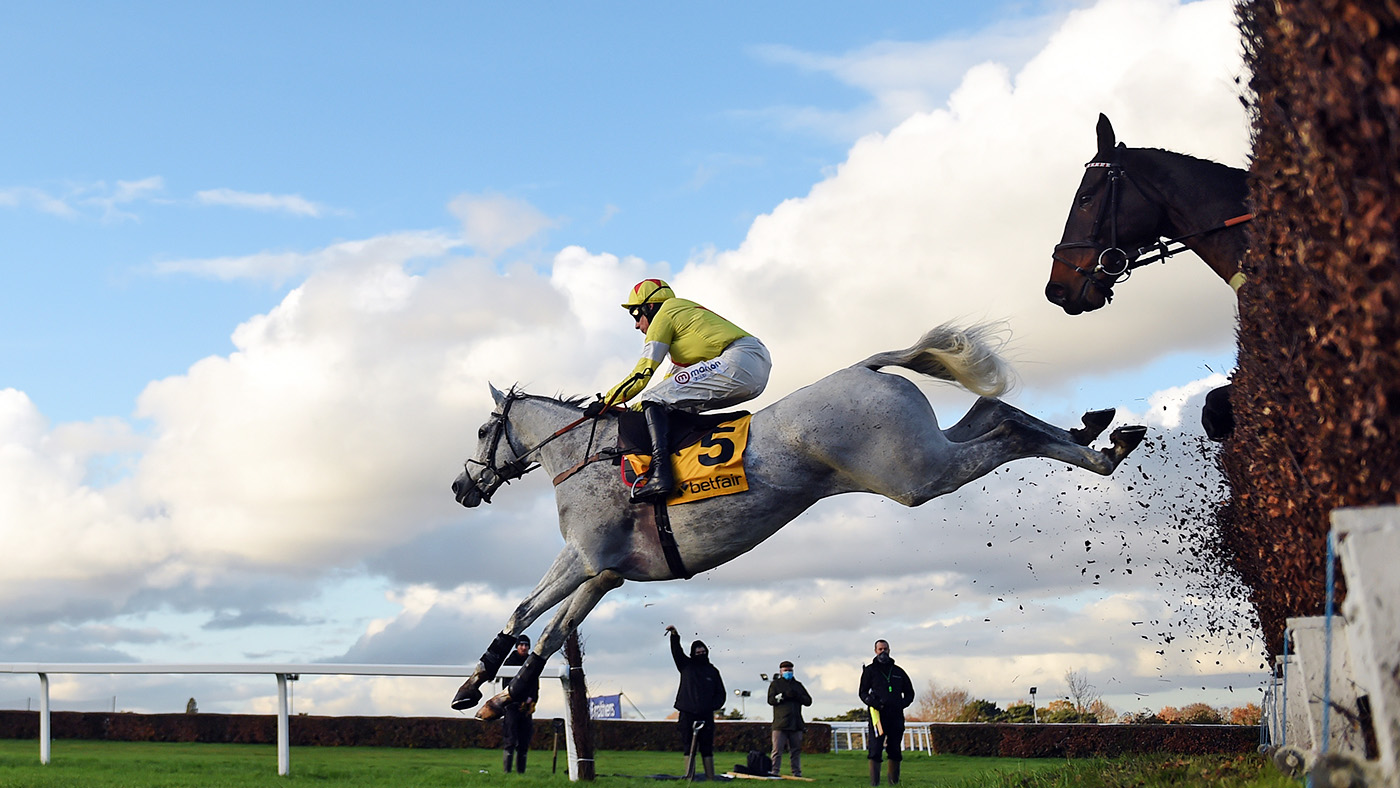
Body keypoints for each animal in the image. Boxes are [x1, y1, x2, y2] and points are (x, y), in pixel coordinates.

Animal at [448, 323, 1148, 716]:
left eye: (483, 429)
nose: (459, 487)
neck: (582, 456)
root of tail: (863, 367)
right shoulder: (605, 573)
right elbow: (548, 629)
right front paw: (495, 691)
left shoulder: (587, 558)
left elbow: (531, 616)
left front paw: (485, 684)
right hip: (925, 452)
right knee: (993, 412)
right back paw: (1104, 434)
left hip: (913, 475)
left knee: (1003, 430)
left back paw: (1103, 447)